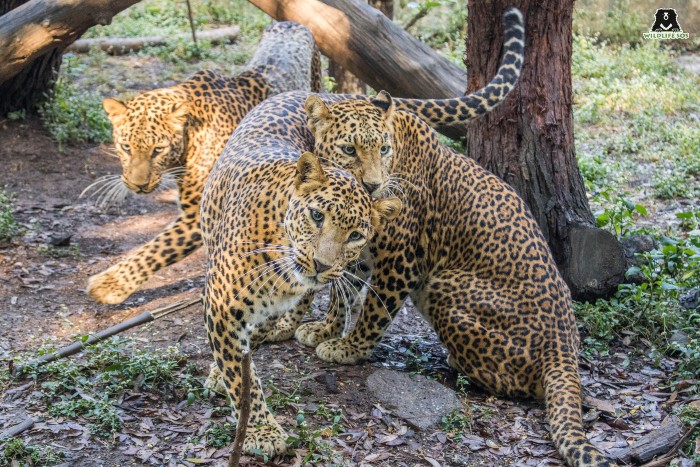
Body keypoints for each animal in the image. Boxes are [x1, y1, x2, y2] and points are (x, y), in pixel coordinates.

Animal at [85, 22, 322, 306]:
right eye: (126, 147)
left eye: (157, 150)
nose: (137, 185)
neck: (188, 140)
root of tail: (291, 22)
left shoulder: (197, 214)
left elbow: (156, 249)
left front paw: (109, 284)